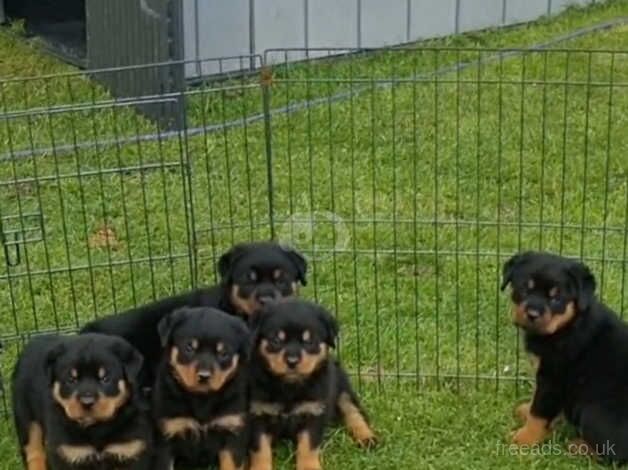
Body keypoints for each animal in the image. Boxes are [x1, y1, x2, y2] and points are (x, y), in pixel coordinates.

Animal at [12, 332, 157, 470]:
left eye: (105, 379)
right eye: (71, 380)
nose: (87, 402)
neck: (96, 428)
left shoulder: (131, 449)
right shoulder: (67, 452)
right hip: (25, 415)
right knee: (33, 451)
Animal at [249, 302, 378, 470]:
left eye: (309, 341)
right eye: (276, 340)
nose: (292, 361)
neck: (289, 387)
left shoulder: (314, 412)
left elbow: (308, 446)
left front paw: (309, 467)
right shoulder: (257, 413)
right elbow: (261, 449)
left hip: (341, 387)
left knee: (353, 411)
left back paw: (367, 438)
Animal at [502, 252, 628, 460]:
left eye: (556, 298)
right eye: (525, 289)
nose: (532, 314)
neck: (566, 326)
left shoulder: (552, 378)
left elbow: (539, 412)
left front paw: (522, 440)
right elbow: (536, 401)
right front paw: (525, 410)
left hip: (591, 413)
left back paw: (578, 446)